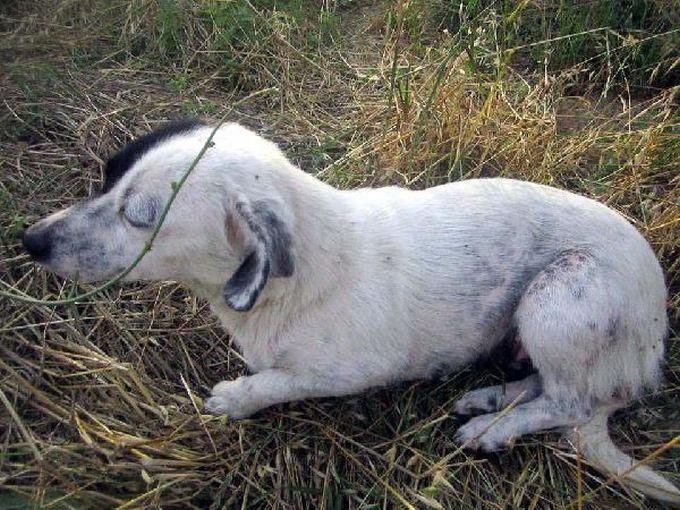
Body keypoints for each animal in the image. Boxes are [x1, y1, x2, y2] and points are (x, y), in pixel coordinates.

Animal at [22, 118, 680, 502]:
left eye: (140, 217)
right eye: (107, 177)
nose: (30, 241)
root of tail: (649, 349)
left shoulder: (348, 372)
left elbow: (273, 382)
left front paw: (235, 398)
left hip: (558, 297)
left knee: (571, 403)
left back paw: (493, 428)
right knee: (548, 389)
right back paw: (491, 399)